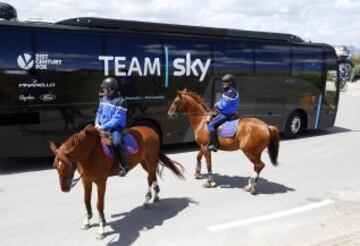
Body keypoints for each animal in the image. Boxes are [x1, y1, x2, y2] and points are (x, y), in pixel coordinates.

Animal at [49, 125, 184, 238]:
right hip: (144, 162)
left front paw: (101, 229)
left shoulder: (101, 182)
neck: (91, 153)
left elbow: (99, 204)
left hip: (150, 160)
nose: (64, 188)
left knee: (150, 177)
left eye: (68, 165)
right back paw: (155, 196)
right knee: (152, 176)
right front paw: (87, 221)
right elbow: (86, 201)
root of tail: (150, 130)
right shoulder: (86, 180)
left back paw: (147, 200)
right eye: (55, 166)